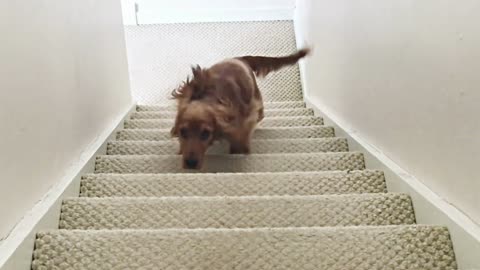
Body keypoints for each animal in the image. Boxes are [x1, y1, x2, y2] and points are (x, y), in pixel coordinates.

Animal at [171, 47, 310, 168]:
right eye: (183, 131)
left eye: (205, 133)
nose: (190, 163)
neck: (211, 96)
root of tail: (240, 58)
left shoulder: (244, 121)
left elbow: (240, 139)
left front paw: (239, 151)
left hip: (255, 94)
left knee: (260, 112)